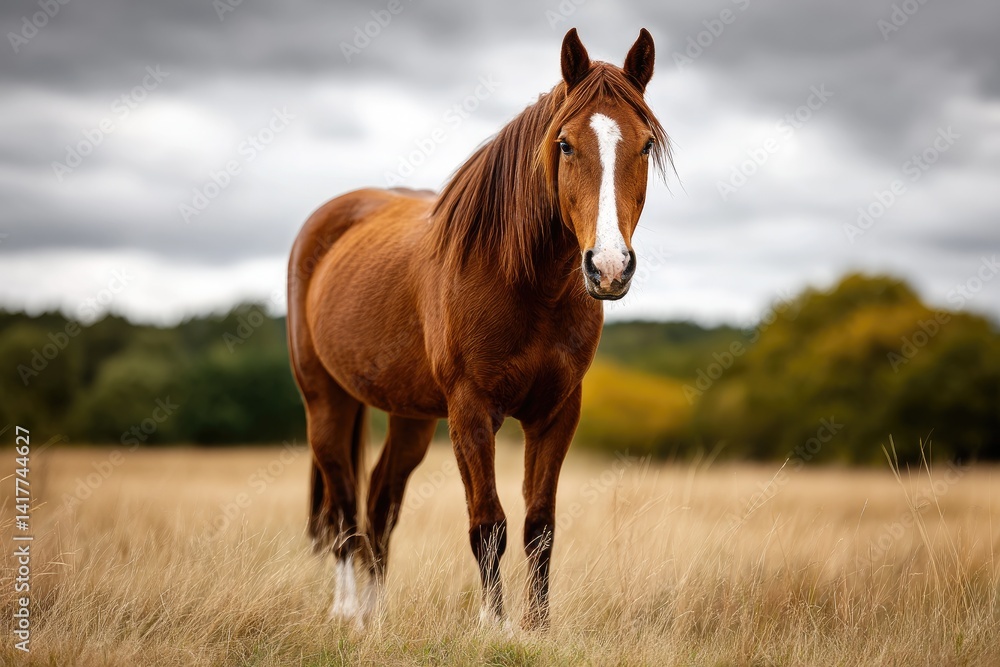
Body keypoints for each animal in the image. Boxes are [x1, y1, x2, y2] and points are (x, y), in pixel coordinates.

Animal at [287, 27, 670, 631]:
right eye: (565, 144)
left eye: (646, 145)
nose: (609, 268)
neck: (525, 284)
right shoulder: (470, 410)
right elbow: (488, 524)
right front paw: (494, 625)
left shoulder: (557, 412)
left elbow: (540, 526)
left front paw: (537, 629)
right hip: (326, 400)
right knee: (344, 505)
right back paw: (347, 612)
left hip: (410, 416)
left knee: (380, 503)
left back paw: (376, 616)